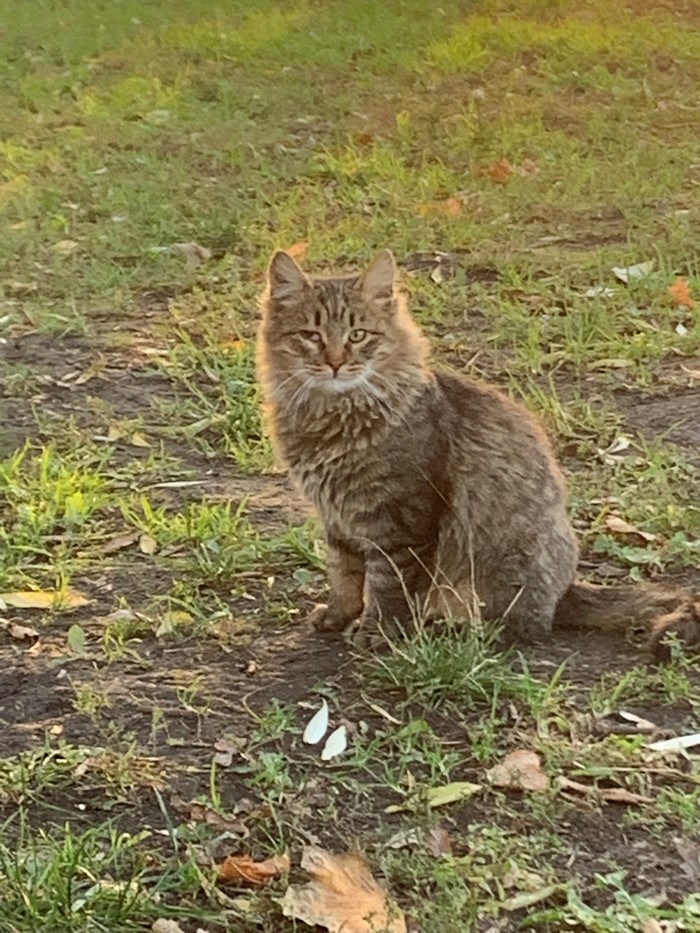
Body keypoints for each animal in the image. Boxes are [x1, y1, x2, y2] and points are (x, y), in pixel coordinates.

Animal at [258, 248, 700, 656]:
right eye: (311, 336)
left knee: (517, 628)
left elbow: (387, 586)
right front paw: (338, 616)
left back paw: (444, 627)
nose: (335, 363)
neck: (329, 415)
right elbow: (343, 575)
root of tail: (565, 591)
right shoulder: (337, 518)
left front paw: (377, 632)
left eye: (358, 335)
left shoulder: (401, 520)